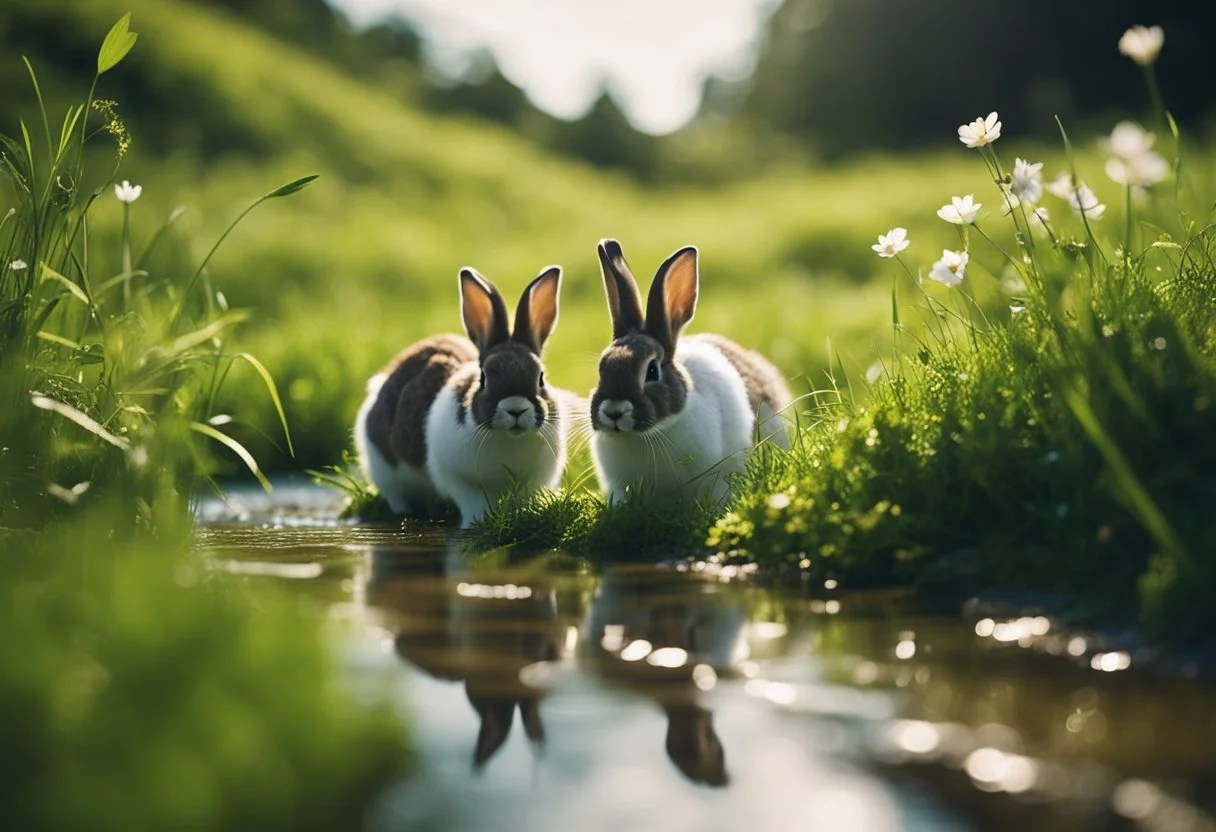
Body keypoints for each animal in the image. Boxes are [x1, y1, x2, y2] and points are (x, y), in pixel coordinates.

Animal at [354, 265, 569, 527]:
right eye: (484, 378)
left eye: (540, 377)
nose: (516, 409)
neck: (509, 437)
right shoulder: (463, 484)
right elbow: (473, 505)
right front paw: (476, 524)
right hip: (383, 468)